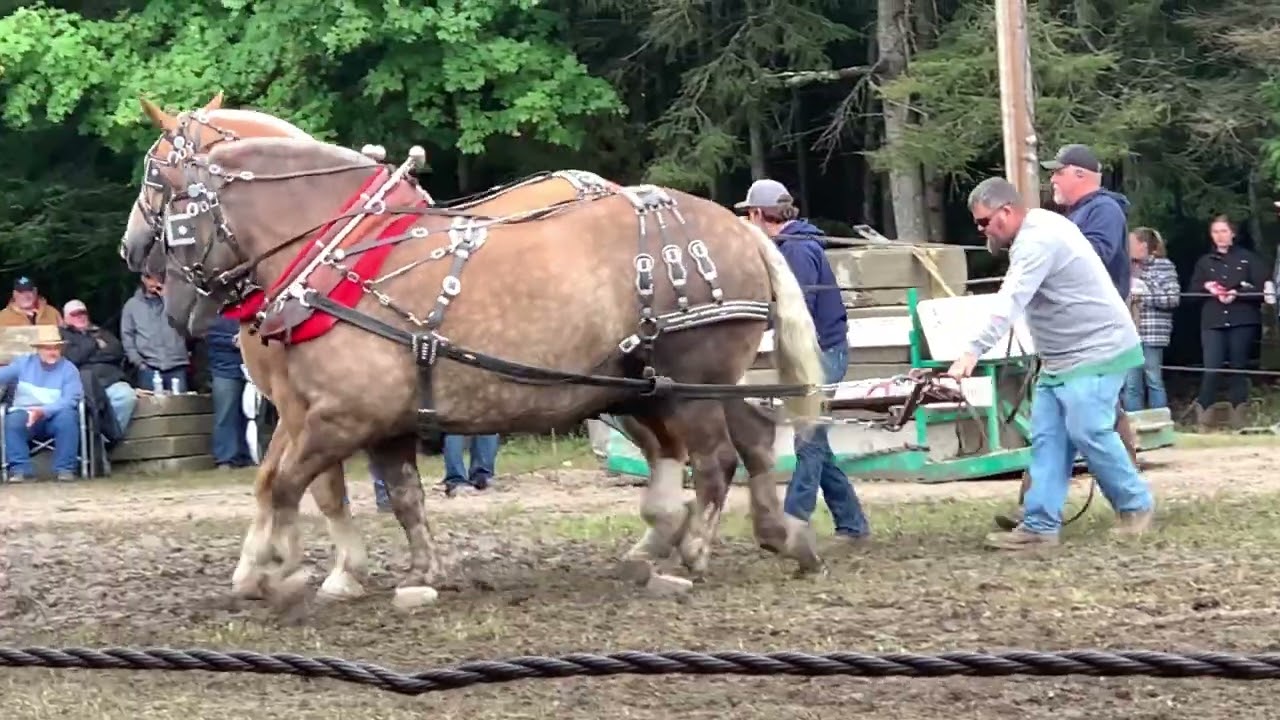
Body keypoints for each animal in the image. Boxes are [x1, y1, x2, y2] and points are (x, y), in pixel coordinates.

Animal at [121, 104, 828, 610]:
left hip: (691, 378)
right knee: (752, 438)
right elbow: (392, 496)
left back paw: (694, 550)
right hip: (666, 382)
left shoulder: (340, 416)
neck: (340, 257)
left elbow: (290, 485)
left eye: (160, 185)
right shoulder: (363, 421)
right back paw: (777, 538)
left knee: (715, 460)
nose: (138, 260)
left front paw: (280, 572)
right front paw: (418, 571)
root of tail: (738, 229)